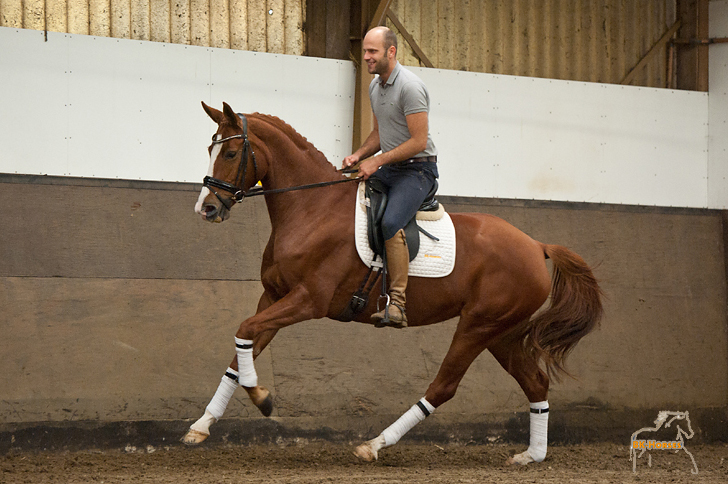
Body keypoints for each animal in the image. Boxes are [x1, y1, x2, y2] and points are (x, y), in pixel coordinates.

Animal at [182, 102, 603, 464]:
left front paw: (262, 398)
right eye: (210, 149)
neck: (312, 210)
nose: (206, 208)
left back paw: (374, 445)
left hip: (479, 326)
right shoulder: (273, 297)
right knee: (536, 383)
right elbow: (242, 349)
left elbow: (245, 332)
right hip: (503, 333)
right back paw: (531, 456)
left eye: (230, 153)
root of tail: (536, 245)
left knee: (443, 387)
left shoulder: (308, 301)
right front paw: (201, 426)